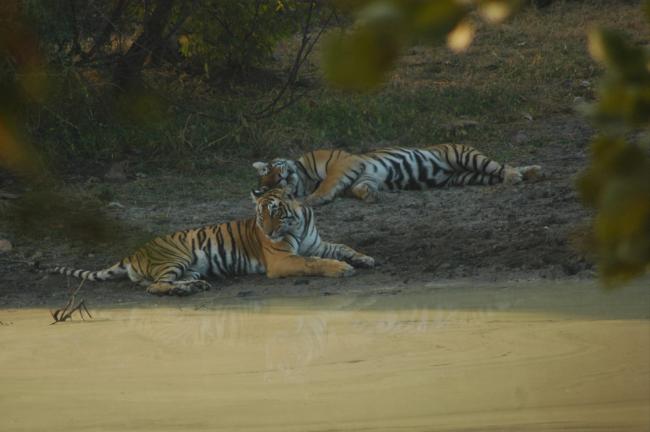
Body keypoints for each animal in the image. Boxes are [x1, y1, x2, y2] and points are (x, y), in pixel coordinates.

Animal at [51, 187, 374, 295]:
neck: (296, 224)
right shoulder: (283, 260)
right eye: (260, 218)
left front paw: (364, 258)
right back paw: (182, 291)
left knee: (160, 282)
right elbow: (312, 263)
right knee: (154, 286)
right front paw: (342, 269)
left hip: (191, 267)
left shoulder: (316, 243)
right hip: (176, 257)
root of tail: (134, 252)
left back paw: (194, 287)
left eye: (275, 213)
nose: (269, 232)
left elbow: (342, 247)